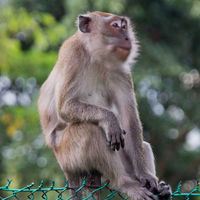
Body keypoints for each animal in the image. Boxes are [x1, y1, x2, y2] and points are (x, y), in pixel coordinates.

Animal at [38, 11, 172, 200]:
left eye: (124, 26)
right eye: (115, 26)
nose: (127, 37)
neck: (96, 58)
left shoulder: (121, 71)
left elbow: (130, 119)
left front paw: (145, 175)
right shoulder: (72, 54)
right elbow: (65, 107)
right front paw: (110, 119)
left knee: (141, 144)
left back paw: (158, 188)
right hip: (68, 156)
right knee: (90, 131)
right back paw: (125, 183)